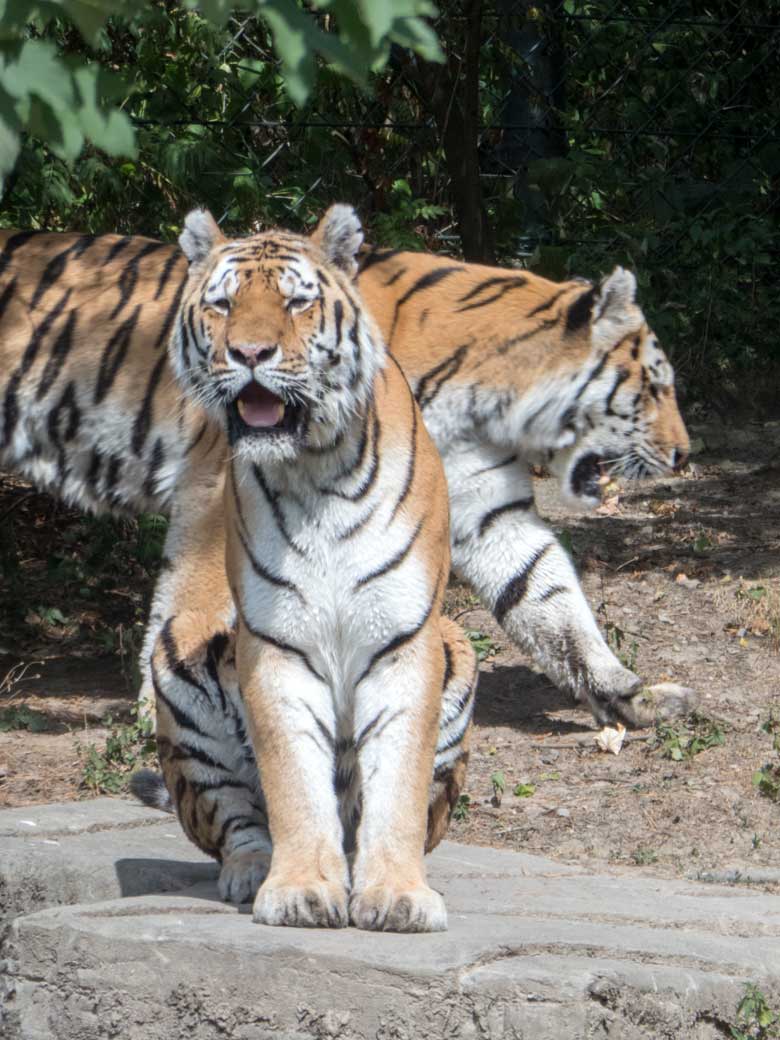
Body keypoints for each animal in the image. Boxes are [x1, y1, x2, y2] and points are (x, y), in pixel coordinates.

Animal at [0, 220, 694, 728]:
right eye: (655, 385)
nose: (686, 456)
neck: (488, 399)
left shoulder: (487, 510)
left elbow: (550, 598)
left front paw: (628, 695)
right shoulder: (217, 490)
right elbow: (190, 599)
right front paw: (167, 716)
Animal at [135, 200, 480, 927]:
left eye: (297, 302)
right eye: (223, 305)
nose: (250, 354)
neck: (314, 471)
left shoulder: (404, 640)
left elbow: (397, 785)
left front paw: (398, 896)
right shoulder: (277, 644)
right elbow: (293, 779)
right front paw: (298, 890)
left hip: (458, 646)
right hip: (177, 651)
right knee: (235, 823)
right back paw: (251, 872)